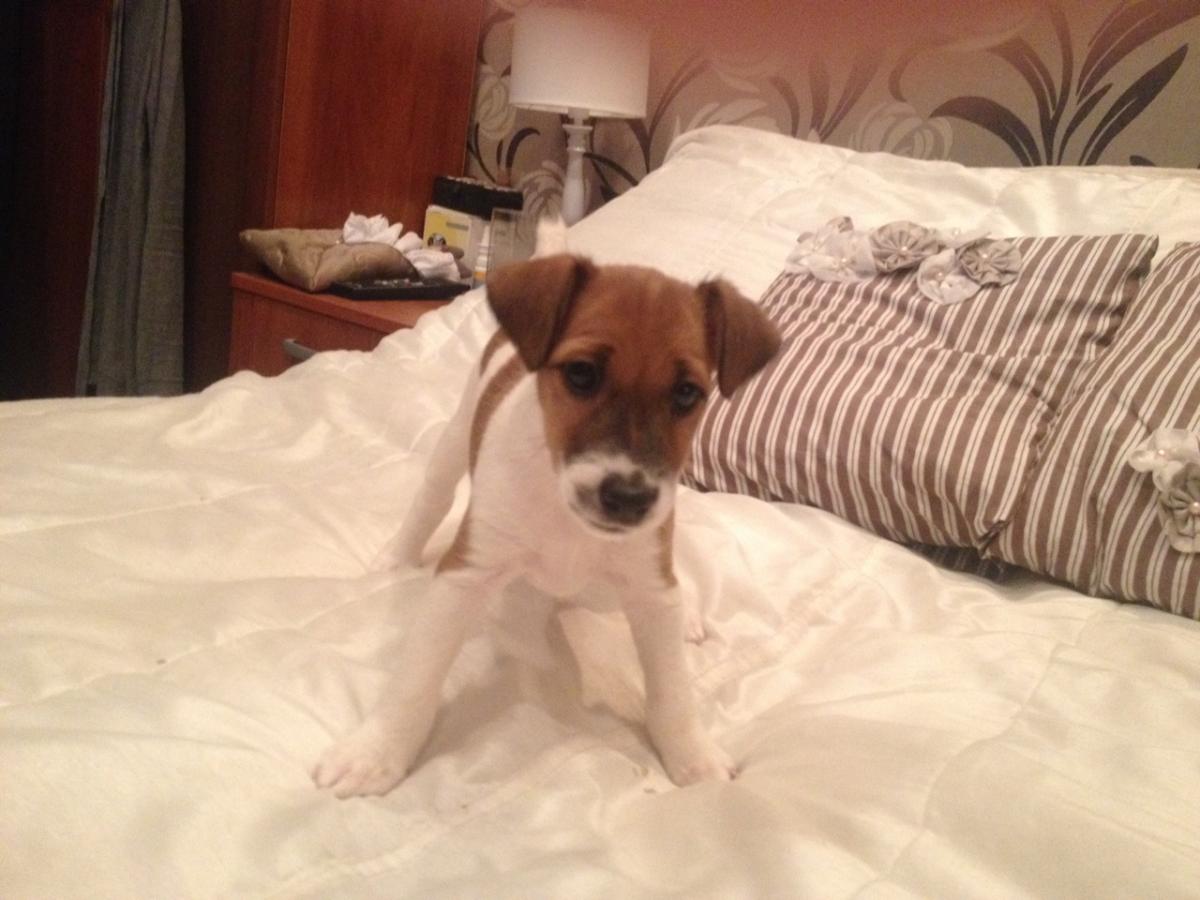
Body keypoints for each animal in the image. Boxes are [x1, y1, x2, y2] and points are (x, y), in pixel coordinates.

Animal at [313, 233, 780, 798]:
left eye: (687, 393)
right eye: (581, 373)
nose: (628, 497)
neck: (564, 513)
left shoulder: (649, 585)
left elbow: (673, 690)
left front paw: (694, 758)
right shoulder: (466, 574)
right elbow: (416, 677)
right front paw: (376, 752)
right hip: (456, 438)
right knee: (432, 497)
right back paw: (395, 557)